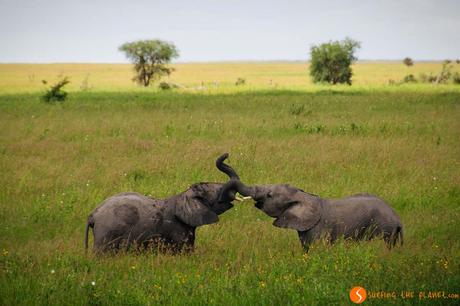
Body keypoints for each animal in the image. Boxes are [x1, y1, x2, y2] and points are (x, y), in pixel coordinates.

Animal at [85, 153, 241, 253]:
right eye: (217, 192)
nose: (227, 154)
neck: (183, 195)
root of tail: (92, 216)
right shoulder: (177, 230)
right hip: (107, 233)